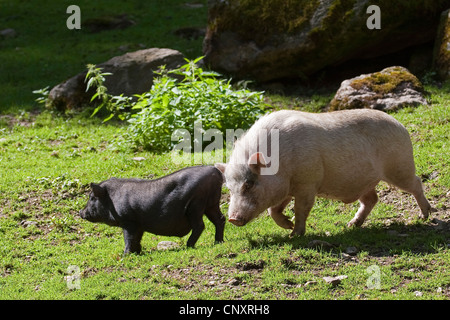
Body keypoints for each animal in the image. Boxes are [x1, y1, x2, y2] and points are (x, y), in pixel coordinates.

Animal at [215, 109, 432, 236]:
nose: (233, 218)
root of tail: (400, 125)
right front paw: (288, 226)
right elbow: (273, 210)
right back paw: (351, 225)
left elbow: (301, 209)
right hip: (365, 180)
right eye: (230, 189)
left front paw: (295, 234)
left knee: (416, 183)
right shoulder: (286, 187)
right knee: (372, 199)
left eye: (249, 184)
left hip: (399, 167)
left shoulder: (307, 183)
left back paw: (425, 215)